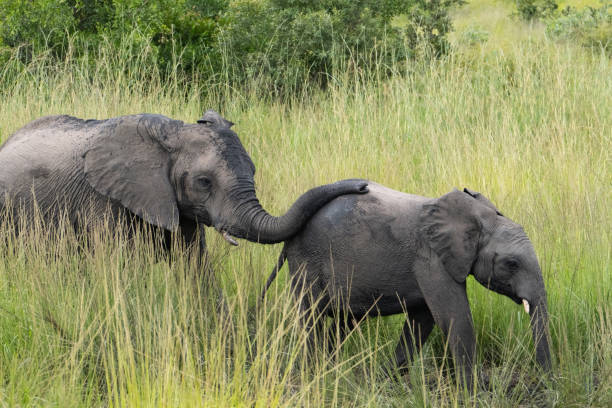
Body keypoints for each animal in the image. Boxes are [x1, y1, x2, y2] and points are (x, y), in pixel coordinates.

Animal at [0, 111, 368, 258]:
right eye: (204, 182)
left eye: (253, 172)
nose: (364, 186)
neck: (170, 132)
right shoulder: (101, 201)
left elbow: (195, 266)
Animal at [260, 182, 552, 388]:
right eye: (512, 263)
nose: (546, 382)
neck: (478, 218)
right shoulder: (431, 259)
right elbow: (454, 316)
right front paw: (473, 392)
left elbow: (422, 321)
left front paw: (383, 380)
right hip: (307, 260)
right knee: (312, 316)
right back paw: (314, 376)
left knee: (342, 322)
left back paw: (331, 372)